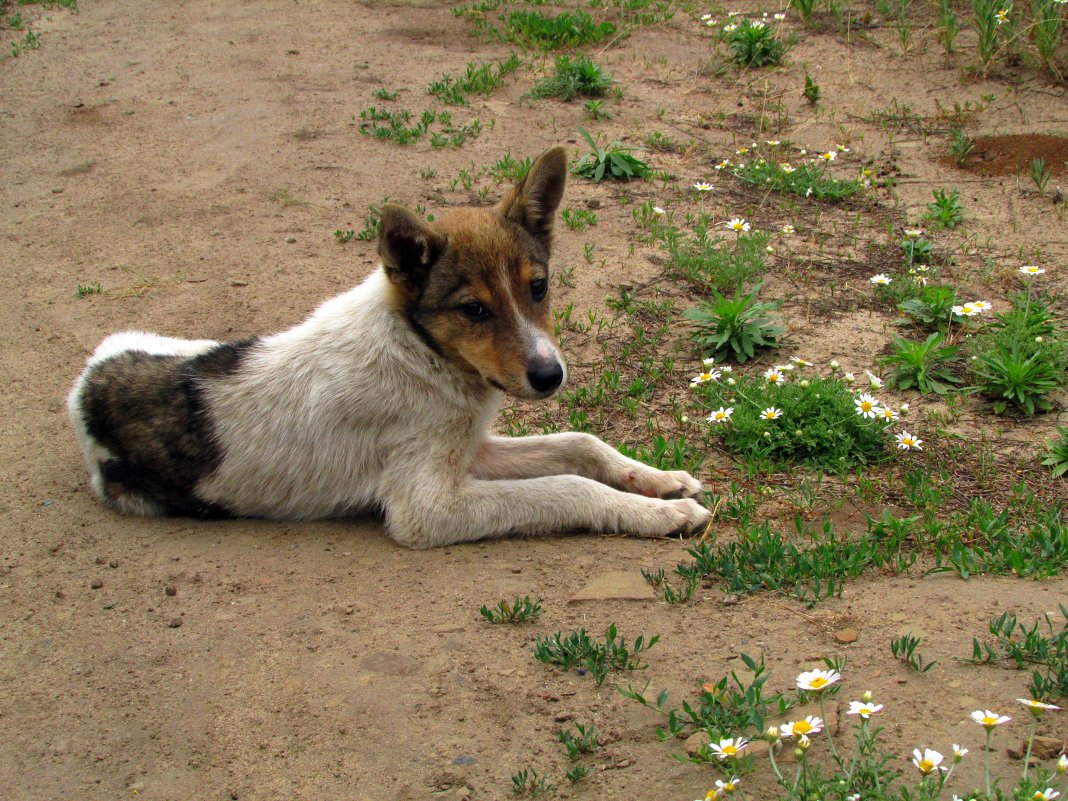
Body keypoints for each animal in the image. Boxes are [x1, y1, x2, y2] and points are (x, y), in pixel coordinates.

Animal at [71, 147, 713, 551]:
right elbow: (566, 488)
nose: (550, 376)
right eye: (473, 310)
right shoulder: (425, 508)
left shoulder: (468, 448)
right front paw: (661, 515)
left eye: (538, 287)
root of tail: (82, 387)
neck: (420, 351)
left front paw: (658, 480)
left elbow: (579, 443)